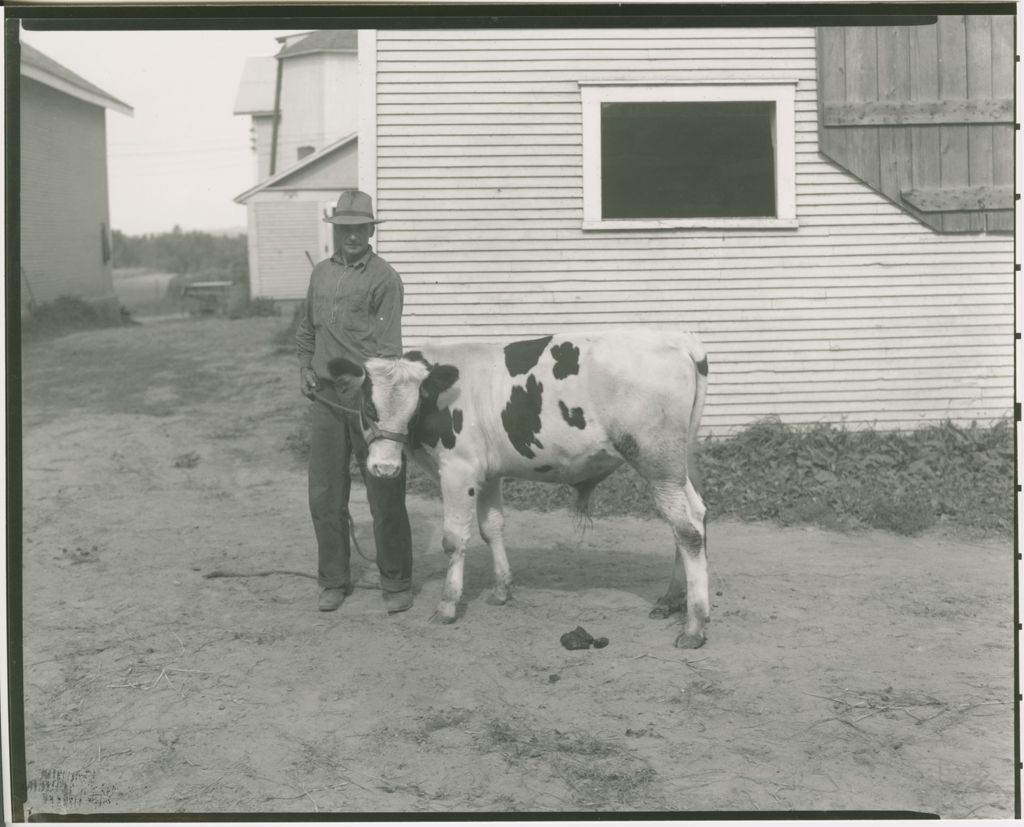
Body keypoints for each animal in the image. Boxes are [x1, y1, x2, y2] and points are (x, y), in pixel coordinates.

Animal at [329, 327, 712, 646]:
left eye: (413, 409)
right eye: (368, 408)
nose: (384, 468)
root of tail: (681, 338)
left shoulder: (458, 471)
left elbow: (454, 540)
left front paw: (447, 606)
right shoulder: (488, 474)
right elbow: (492, 529)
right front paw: (502, 590)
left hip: (657, 462)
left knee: (686, 530)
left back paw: (694, 625)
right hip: (678, 465)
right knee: (696, 516)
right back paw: (671, 600)